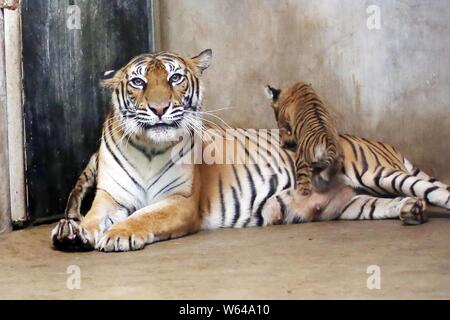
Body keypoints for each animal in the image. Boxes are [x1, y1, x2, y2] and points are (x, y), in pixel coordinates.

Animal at [51, 49, 450, 252]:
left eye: (175, 77)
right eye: (138, 81)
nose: (161, 108)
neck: (150, 148)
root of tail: (383, 143)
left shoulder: (181, 202)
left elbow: (146, 216)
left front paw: (119, 234)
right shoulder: (110, 197)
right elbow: (93, 217)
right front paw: (78, 230)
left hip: (378, 172)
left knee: (437, 190)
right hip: (354, 203)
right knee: (385, 204)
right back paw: (411, 211)